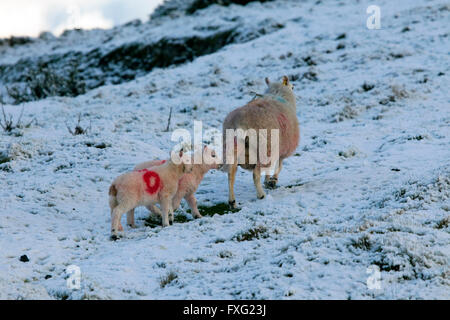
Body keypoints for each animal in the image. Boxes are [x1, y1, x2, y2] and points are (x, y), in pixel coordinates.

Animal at [221, 76, 298, 209]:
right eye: (292, 87)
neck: (278, 94)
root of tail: (240, 123)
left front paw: (268, 181)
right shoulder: (280, 149)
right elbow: (279, 166)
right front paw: (272, 181)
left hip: (232, 147)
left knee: (231, 174)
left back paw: (232, 202)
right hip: (264, 147)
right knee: (255, 174)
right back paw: (261, 195)